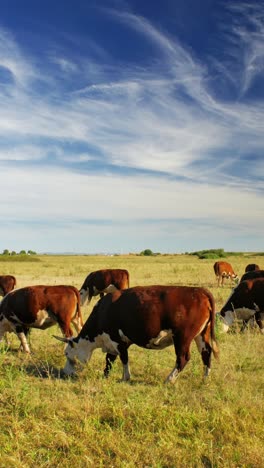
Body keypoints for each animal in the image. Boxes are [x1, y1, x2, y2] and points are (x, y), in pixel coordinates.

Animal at [53, 286, 219, 384]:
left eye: (67, 354)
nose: (65, 373)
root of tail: (200, 291)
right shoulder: (114, 342)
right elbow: (110, 360)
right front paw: (105, 375)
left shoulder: (117, 340)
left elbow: (123, 359)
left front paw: (125, 377)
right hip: (201, 335)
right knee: (206, 353)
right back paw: (205, 379)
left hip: (182, 337)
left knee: (183, 358)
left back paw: (169, 379)